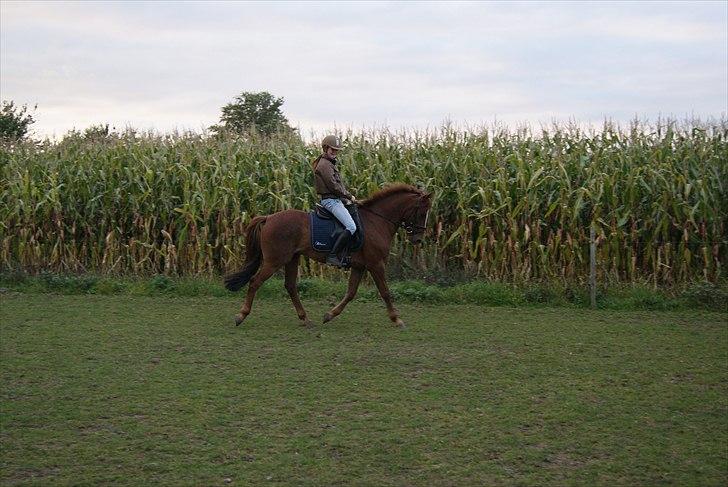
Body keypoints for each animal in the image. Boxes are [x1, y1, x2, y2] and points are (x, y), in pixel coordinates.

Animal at [225, 185, 432, 330]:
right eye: (422, 212)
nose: (418, 239)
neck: (377, 221)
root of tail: (268, 218)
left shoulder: (360, 266)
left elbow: (351, 293)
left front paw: (329, 315)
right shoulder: (376, 264)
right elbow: (385, 292)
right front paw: (397, 319)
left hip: (292, 259)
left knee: (290, 286)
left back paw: (306, 319)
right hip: (275, 261)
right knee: (255, 282)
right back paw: (241, 316)